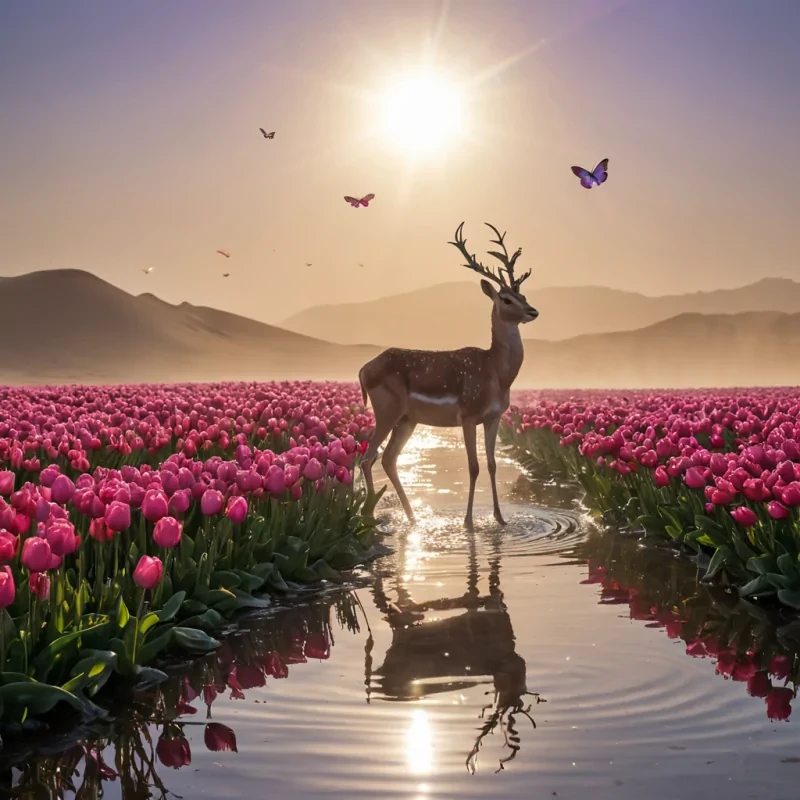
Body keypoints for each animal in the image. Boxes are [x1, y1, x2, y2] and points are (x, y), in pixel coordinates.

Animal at [358, 222, 538, 530]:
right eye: (506, 299)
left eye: (523, 295)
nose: (533, 311)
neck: (496, 374)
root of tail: (362, 370)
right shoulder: (467, 414)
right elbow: (473, 466)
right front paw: (468, 522)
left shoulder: (494, 417)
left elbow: (492, 465)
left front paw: (500, 519)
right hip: (387, 409)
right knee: (368, 458)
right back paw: (370, 516)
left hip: (407, 419)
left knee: (389, 459)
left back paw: (413, 517)